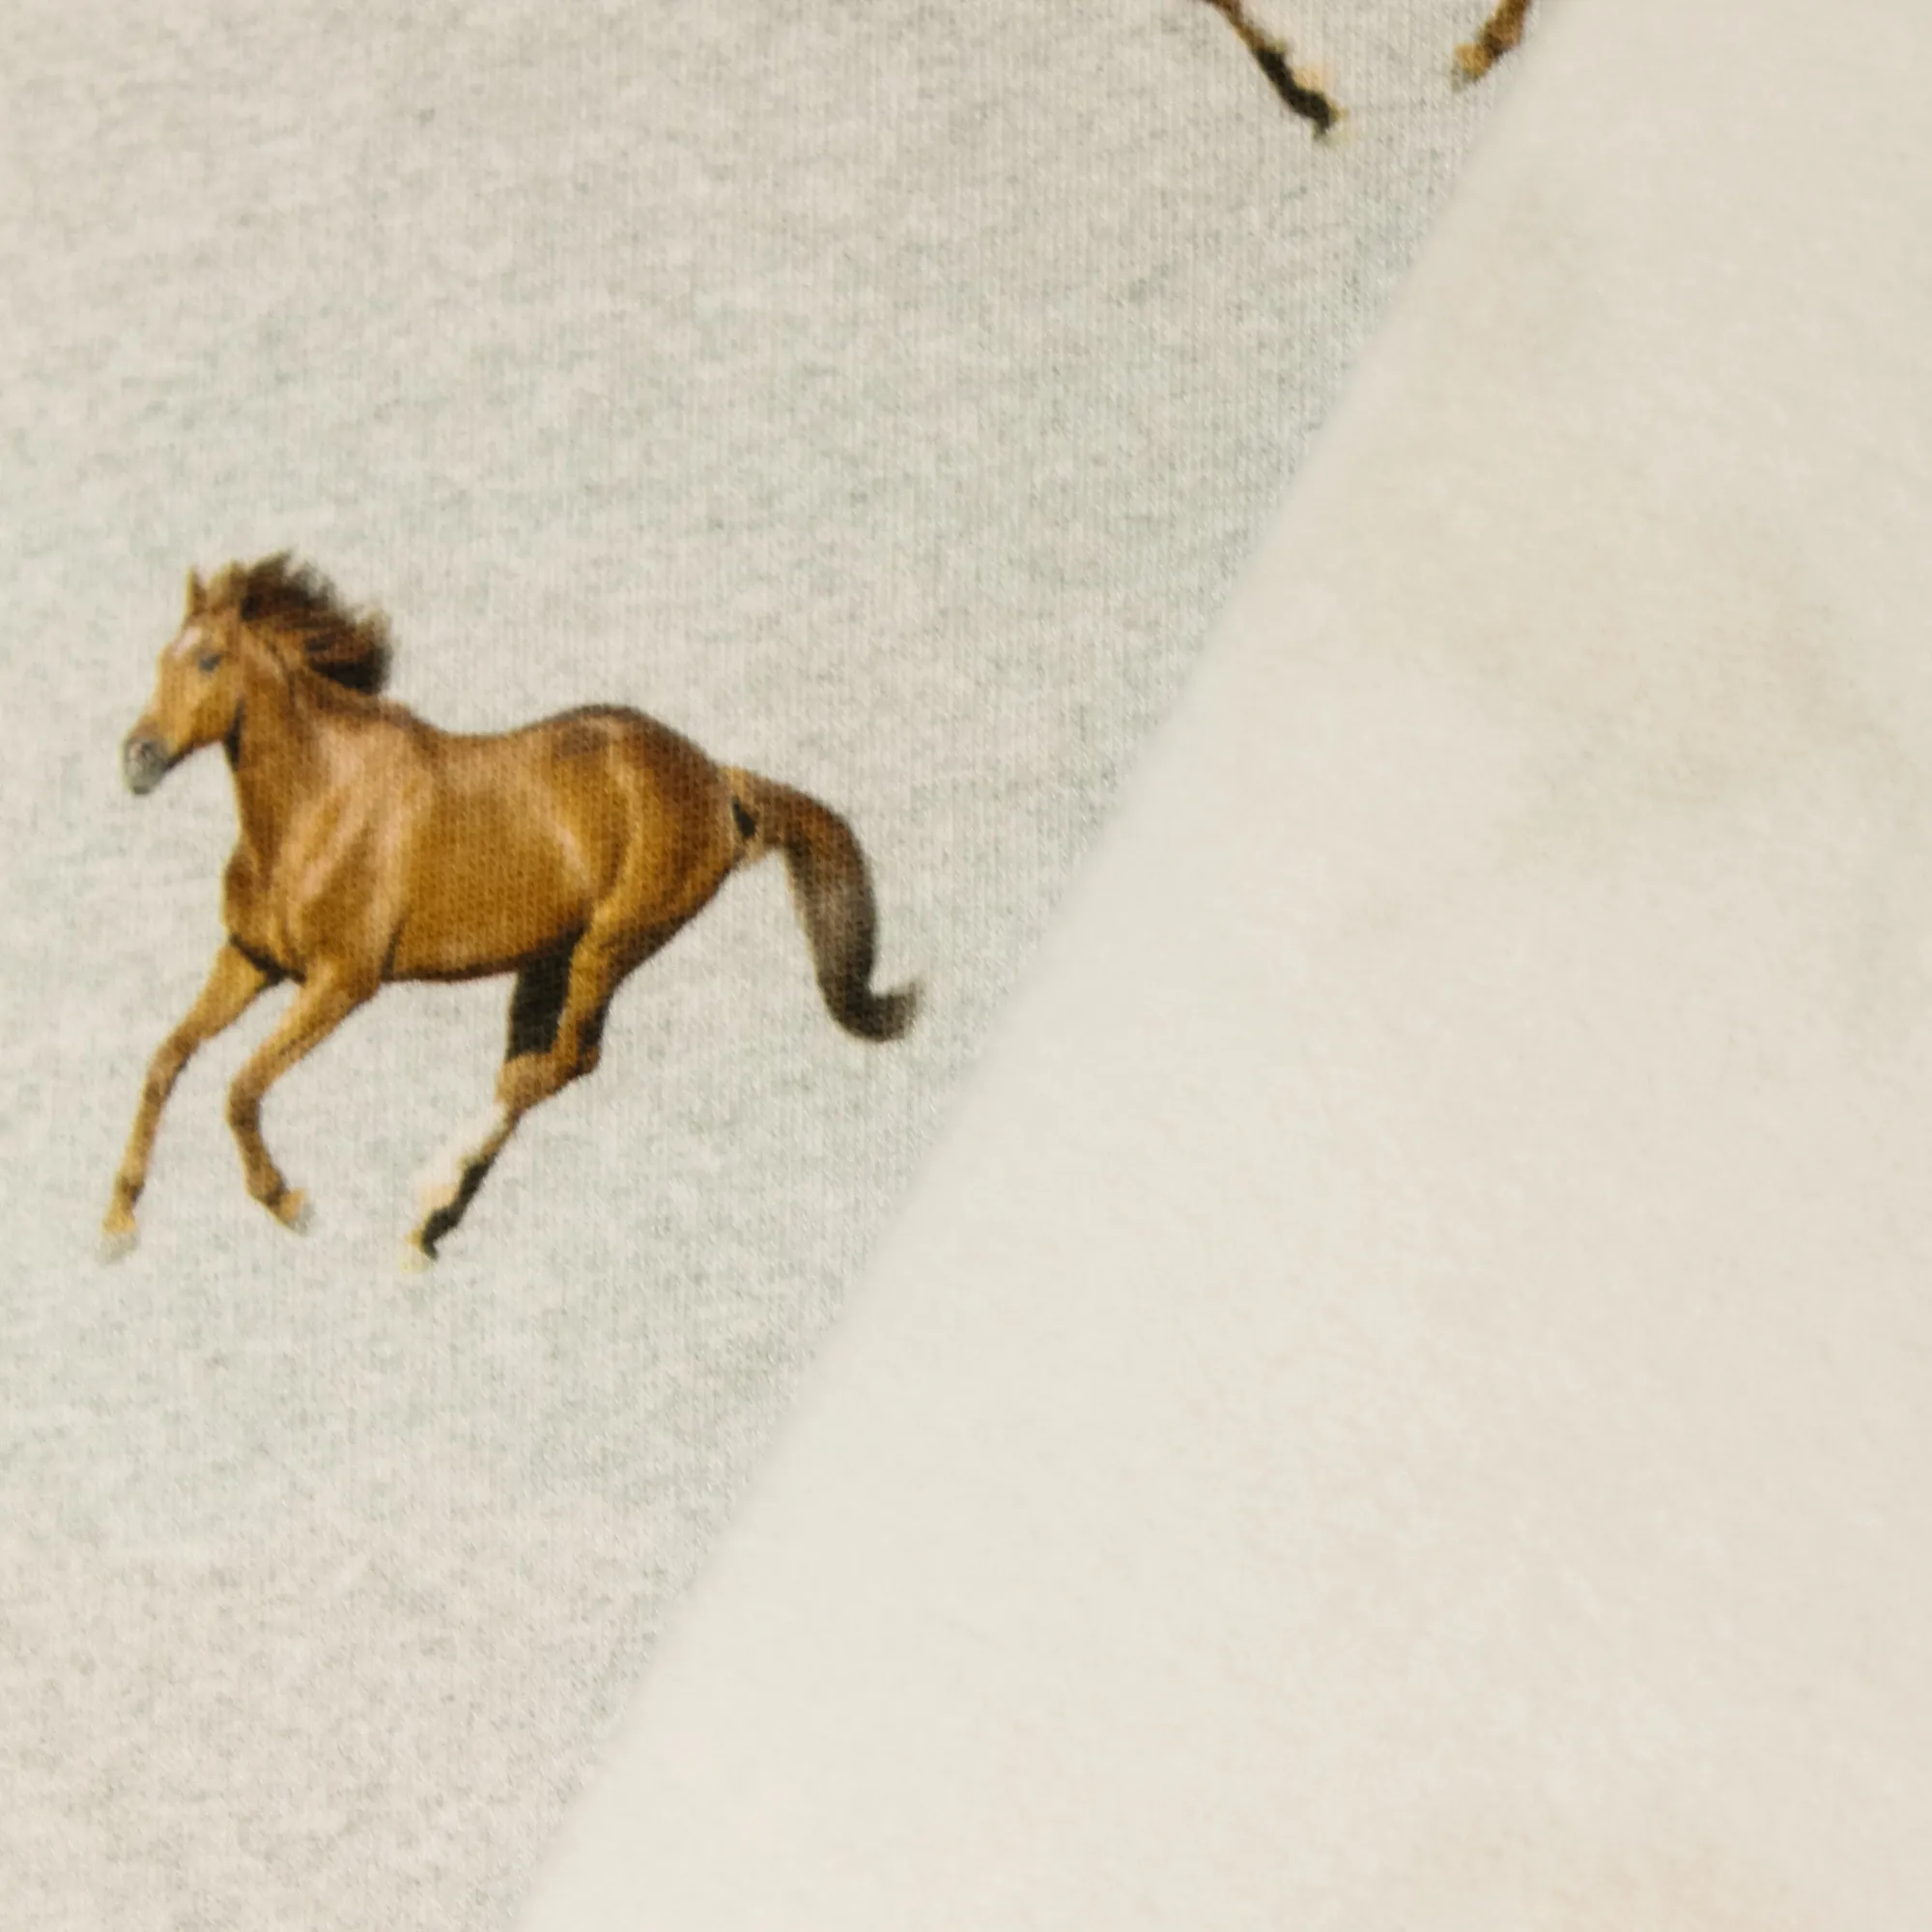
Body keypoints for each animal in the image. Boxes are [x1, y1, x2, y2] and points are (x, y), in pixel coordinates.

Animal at [102, 556, 919, 1268]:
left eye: (209, 661)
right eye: (162, 659)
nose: (137, 759)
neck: (317, 803)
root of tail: (718, 779)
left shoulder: (342, 980)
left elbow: (241, 1088)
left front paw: (289, 1203)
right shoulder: (250, 959)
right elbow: (165, 1061)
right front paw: (117, 1225)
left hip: (611, 943)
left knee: (560, 1064)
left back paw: (430, 1188)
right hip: (549, 959)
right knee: (535, 1067)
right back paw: (427, 1230)